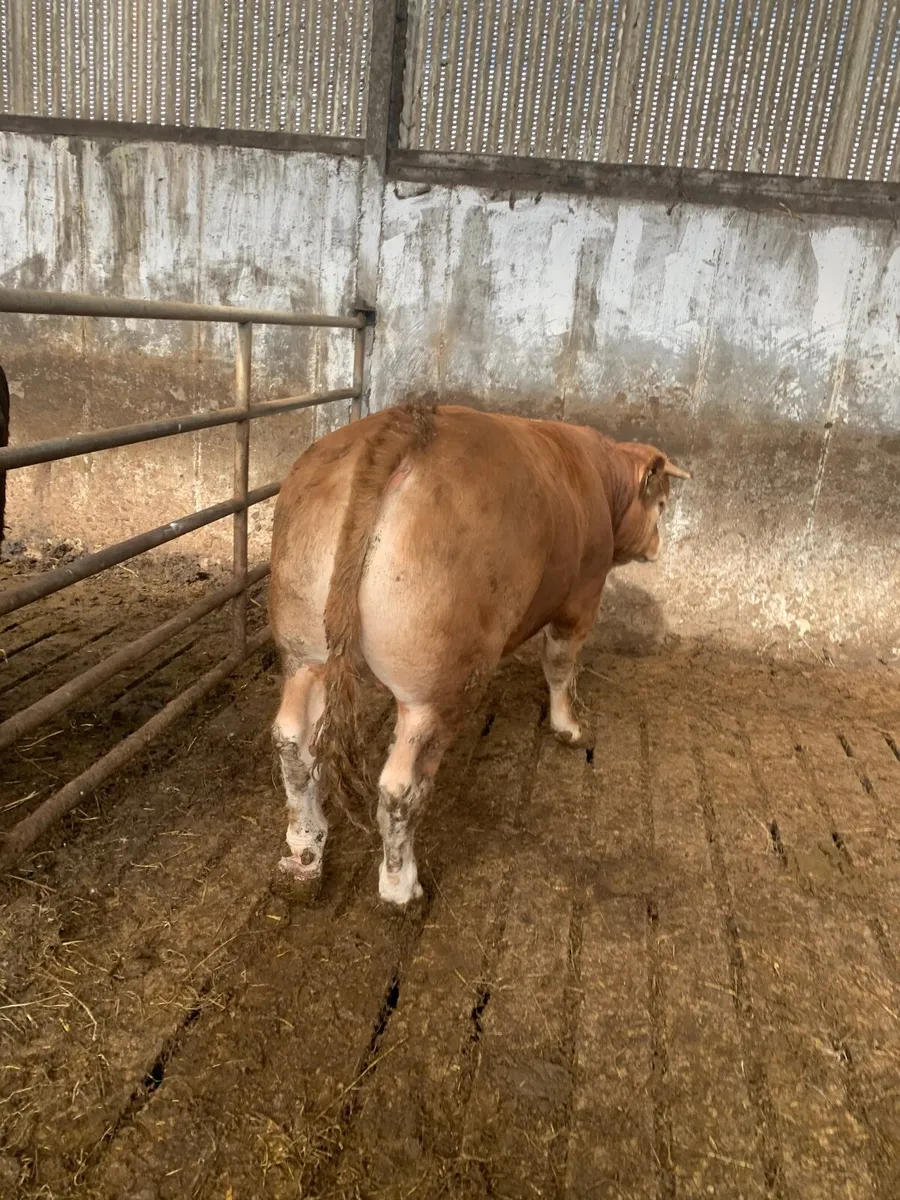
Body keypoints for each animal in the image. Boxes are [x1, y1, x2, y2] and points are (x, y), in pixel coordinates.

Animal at [268, 403, 690, 907]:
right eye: (660, 505)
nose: (657, 547)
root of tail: (406, 426)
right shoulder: (582, 597)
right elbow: (560, 666)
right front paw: (569, 728)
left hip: (303, 645)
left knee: (293, 743)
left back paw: (303, 857)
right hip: (437, 685)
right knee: (400, 787)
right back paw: (401, 889)